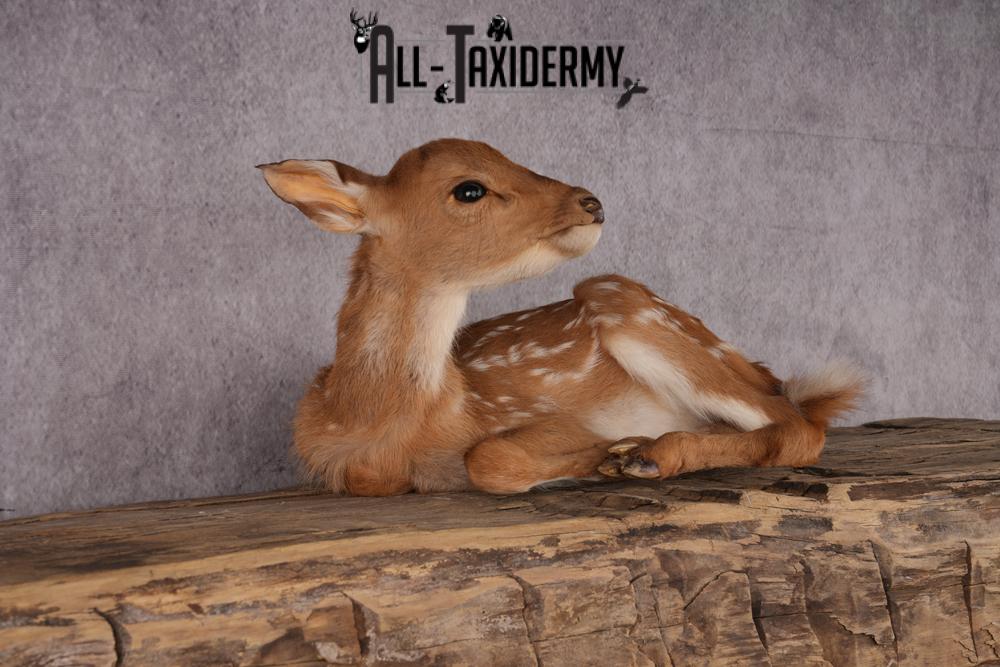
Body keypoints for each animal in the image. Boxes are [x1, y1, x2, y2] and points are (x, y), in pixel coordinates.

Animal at [258, 139, 865, 496]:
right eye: (469, 189)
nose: (590, 202)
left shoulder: (549, 416)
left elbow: (489, 456)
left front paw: (612, 451)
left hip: (627, 303)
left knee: (797, 429)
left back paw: (648, 453)